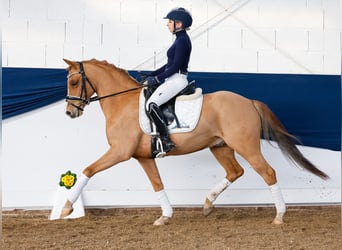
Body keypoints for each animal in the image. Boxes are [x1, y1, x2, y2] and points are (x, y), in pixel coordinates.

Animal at [60, 58, 328, 225]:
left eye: (74, 82)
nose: (70, 113)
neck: (122, 104)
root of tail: (249, 101)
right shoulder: (143, 157)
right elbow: (157, 184)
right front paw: (165, 217)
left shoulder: (119, 152)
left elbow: (88, 170)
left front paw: (66, 207)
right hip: (220, 147)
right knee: (235, 171)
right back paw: (208, 204)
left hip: (246, 147)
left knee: (268, 172)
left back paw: (279, 216)